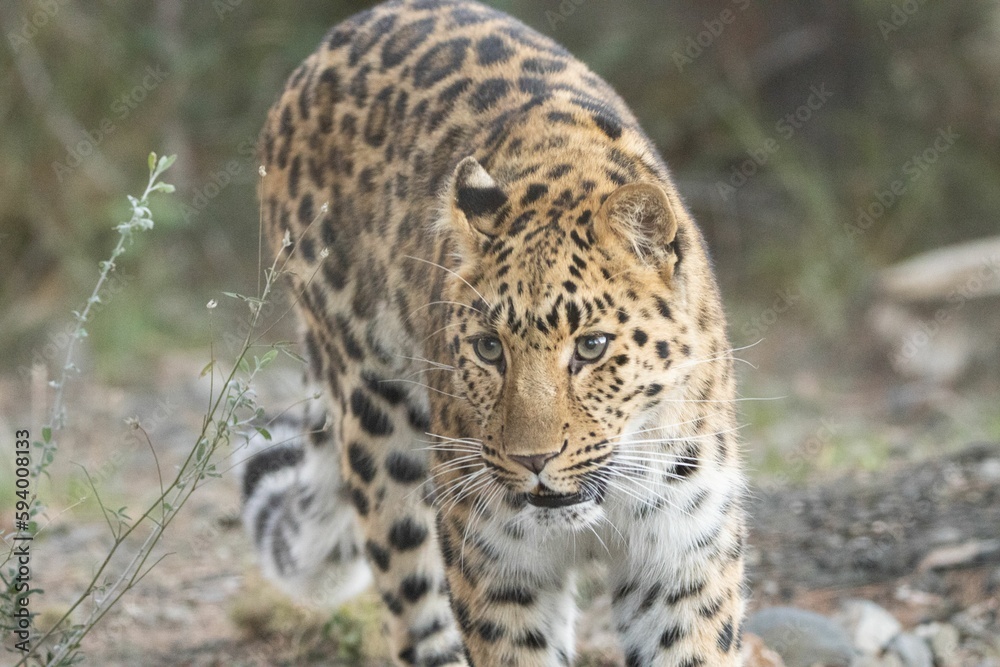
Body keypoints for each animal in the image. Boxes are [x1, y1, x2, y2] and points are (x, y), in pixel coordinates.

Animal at [241, 1, 747, 665]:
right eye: (488, 349)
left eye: (591, 347)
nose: (533, 460)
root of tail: (329, 44)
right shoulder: (499, 564)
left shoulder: (682, 562)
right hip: (380, 425)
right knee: (417, 605)